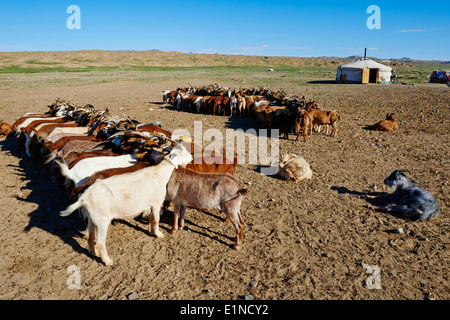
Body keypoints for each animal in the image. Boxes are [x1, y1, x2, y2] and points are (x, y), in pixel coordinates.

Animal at [59, 144, 193, 266]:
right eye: (183, 153)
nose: (192, 157)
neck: (159, 173)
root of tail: (85, 196)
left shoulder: (148, 204)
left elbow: (150, 218)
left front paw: (150, 231)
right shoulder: (156, 202)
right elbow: (156, 219)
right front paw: (158, 234)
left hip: (93, 218)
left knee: (90, 236)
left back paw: (93, 253)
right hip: (102, 220)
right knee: (100, 241)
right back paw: (107, 261)